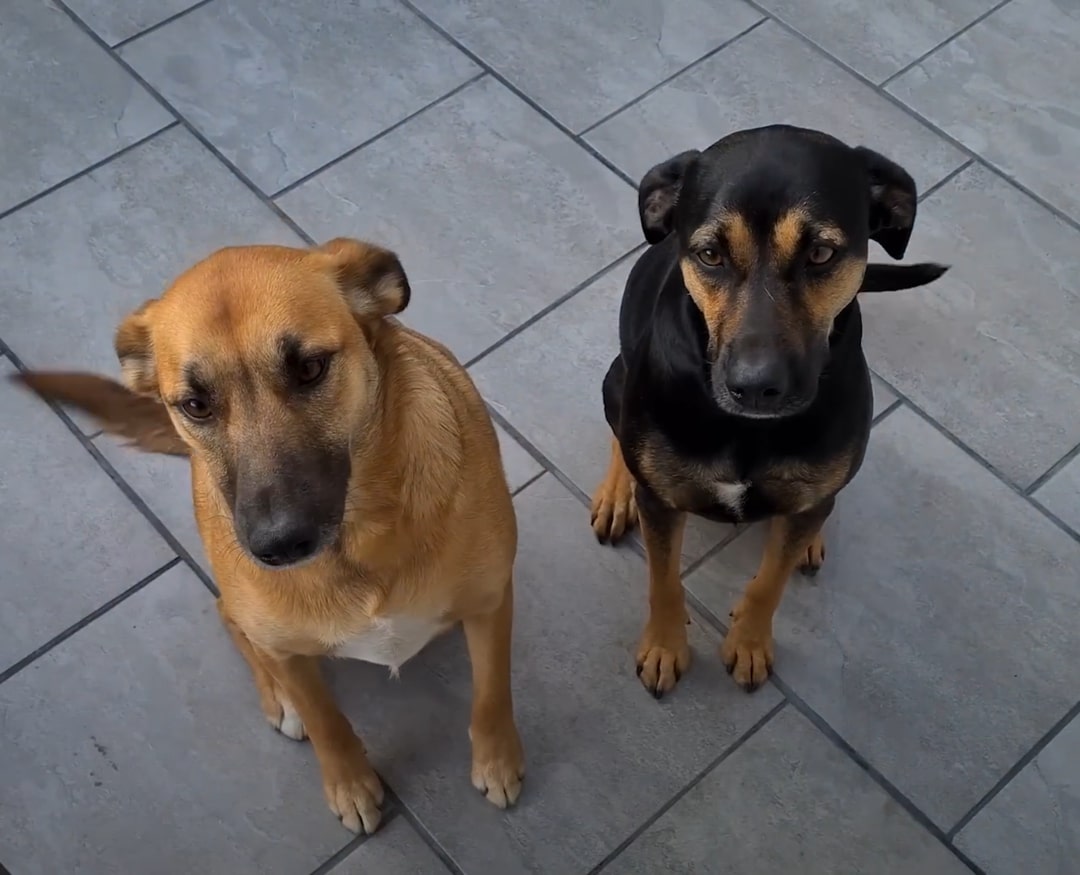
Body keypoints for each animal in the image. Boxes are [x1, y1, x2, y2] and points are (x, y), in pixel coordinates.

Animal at [12, 236, 524, 833]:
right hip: (251, 618)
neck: (357, 540)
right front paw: (349, 783)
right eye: (196, 404)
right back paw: (280, 700)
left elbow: (492, 693)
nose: (278, 545)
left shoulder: (490, 604)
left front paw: (498, 758)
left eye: (310, 368)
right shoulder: (287, 650)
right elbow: (327, 722)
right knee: (231, 620)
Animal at [591, 124, 954, 695]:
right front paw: (665, 645)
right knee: (618, 435)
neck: (748, 430)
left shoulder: (805, 496)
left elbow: (770, 581)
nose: (756, 387)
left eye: (822, 253)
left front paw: (749, 641)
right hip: (616, 381)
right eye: (710, 254)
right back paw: (615, 493)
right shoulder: (662, 502)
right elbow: (663, 579)